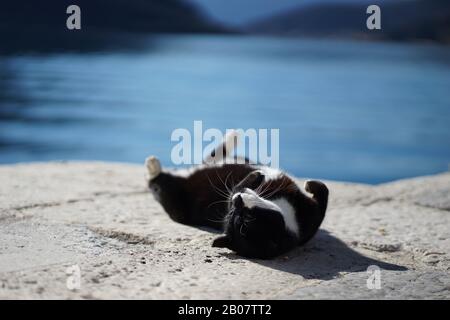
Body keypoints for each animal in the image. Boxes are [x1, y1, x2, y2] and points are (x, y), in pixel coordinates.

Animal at [146, 132, 328, 260]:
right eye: (235, 214)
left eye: (245, 217)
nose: (237, 201)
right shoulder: (309, 217)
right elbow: (324, 193)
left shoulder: (308, 221)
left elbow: (323, 197)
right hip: (177, 202)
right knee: (158, 181)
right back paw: (153, 164)